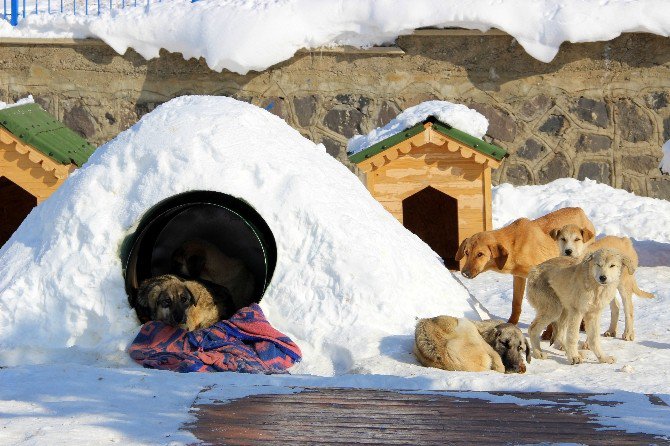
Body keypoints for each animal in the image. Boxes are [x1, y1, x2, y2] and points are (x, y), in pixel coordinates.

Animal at [460, 207, 596, 326]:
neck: (514, 245)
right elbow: (516, 303)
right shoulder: (518, 277)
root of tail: (580, 211)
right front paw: (511, 324)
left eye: (480, 254)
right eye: (466, 252)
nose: (464, 273)